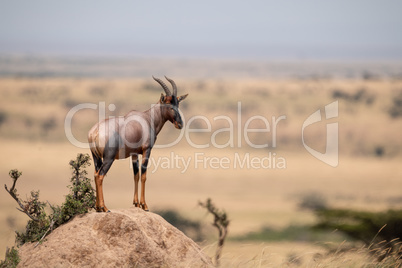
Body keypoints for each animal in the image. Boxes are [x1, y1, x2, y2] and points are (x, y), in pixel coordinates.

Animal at [87, 76, 188, 213]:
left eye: (178, 104)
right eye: (169, 105)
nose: (180, 124)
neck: (147, 118)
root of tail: (95, 131)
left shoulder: (134, 154)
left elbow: (136, 175)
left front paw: (136, 203)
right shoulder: (147, 150)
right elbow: (144, 175)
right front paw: (144, 205)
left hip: (96, 157)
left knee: (95, 173)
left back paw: (98, 207)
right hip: (109, 158)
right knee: (100, 175)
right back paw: (105, 208)